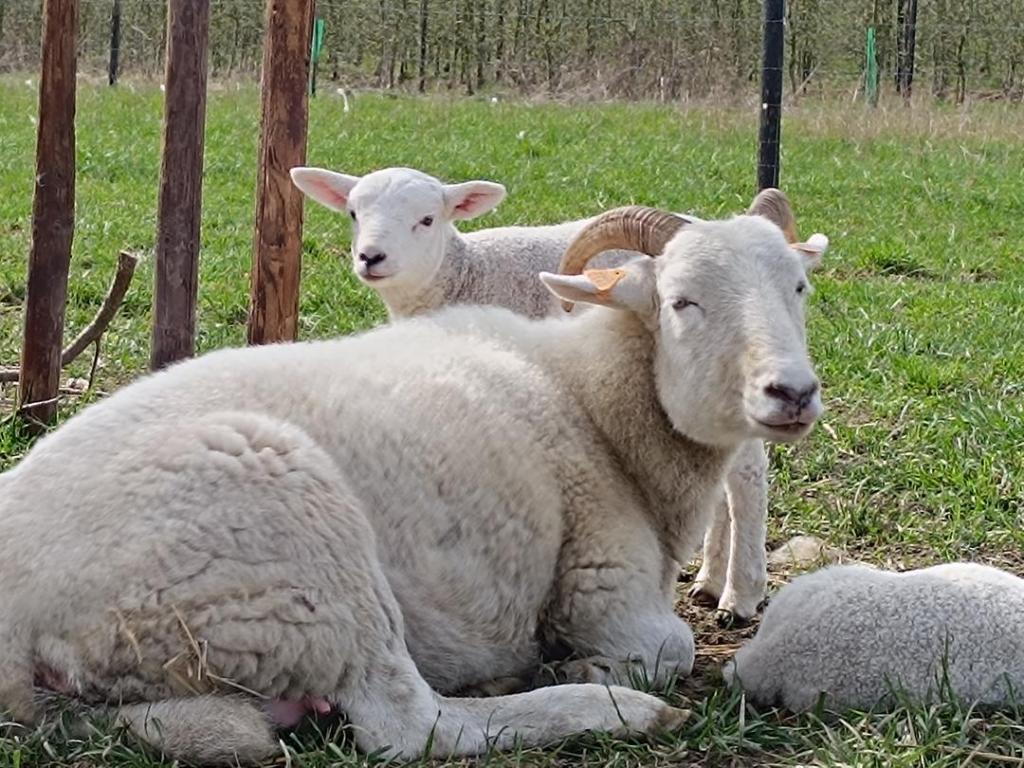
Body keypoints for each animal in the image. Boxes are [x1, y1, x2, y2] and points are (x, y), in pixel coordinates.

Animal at [291, 165, 796, 622]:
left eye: (427, 219)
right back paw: (709, 579)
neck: (465, 274)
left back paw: (740, 593)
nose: (370, 257)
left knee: (747, 474)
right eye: (353, 213)